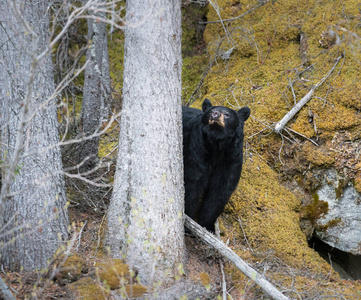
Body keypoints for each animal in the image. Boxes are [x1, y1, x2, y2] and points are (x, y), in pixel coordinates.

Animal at [181, 99, 249, 234]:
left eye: (227, 114)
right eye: (211, 111)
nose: (215, 114)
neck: (217, 146)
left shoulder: (231, 159)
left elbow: (220, 189)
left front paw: (207, 225)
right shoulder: (197, 149)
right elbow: (192, 181)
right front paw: (188, 221)